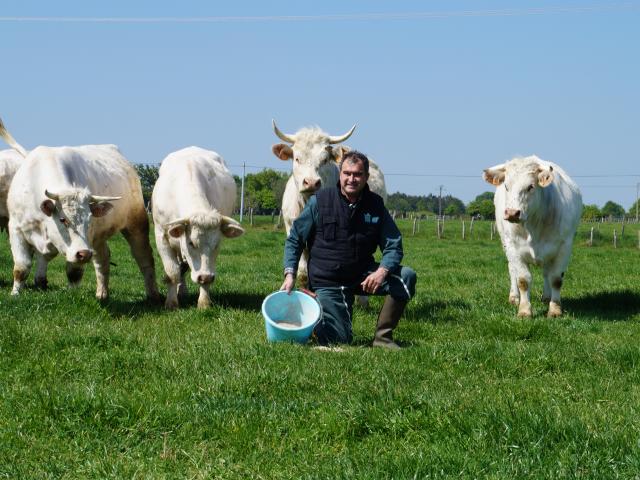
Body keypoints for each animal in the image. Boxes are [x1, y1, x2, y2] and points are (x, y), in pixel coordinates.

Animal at [0, 116, 160, 300]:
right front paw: (15, 293)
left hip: (136, 222)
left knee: (144, 256)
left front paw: (73, 295)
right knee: (102, 258)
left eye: (89, 221)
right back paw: (102, 293)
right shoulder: (15, 228)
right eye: (62, 219)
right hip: (99, 237)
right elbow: (21, 267)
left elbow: (73, 272)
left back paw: (153, 295)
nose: (84, 254)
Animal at [152, 147, 245, 312]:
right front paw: (171, 303)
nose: (205, 276)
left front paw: (204, 302)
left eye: (216, 245)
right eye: (191, 243)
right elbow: (172, 272)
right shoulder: (161, 235)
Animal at [482, 156, 584, 316]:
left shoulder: (564, 246)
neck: (534, 226)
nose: (512, 213)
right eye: (506, 186)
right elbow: (523, 280)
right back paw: (514, 297)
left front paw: (555, 310)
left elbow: (556, 279)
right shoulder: (514, 247)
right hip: (505, 243)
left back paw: (546, 297)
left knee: (547, 272)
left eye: (531, 186)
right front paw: (524, 310)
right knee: (512, 269)